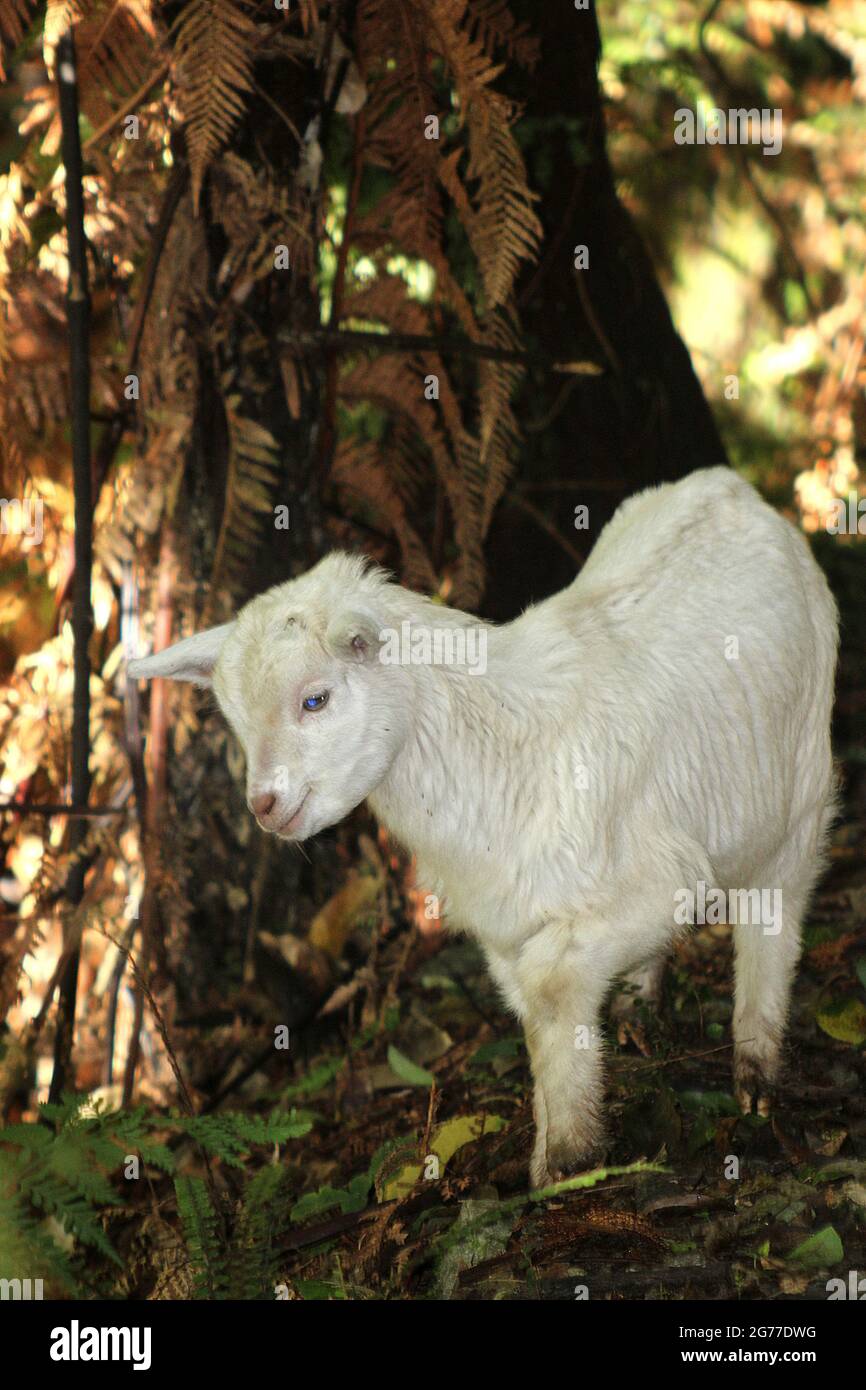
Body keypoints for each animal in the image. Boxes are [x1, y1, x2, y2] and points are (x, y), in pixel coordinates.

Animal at [129, 467, 838, 1186]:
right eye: (237, 723)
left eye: (315, 699)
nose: (265, 806)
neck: (499, 749)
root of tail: (726, 485)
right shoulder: (505, 922)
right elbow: (533, 1013)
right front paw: (554, 1150)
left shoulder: (663, 878)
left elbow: (552, 984)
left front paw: (568, 1158)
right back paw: (643, 1007)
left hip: (802, 786)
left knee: (775, 914)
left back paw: (756, 1070)